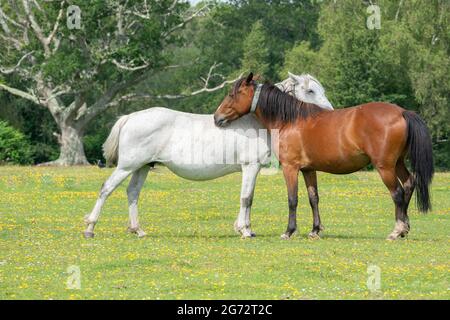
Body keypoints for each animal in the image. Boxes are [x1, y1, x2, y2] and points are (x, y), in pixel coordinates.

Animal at [82, 72, 332, 238]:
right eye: (311, 90)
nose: (329, 111)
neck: (256, 120)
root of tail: (131, 117)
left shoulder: (252, 169)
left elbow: (248, 198)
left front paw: (244, 228)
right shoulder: (250, 166)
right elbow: (246, 198)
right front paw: (245, 230)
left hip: (142, 167)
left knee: (132, 192)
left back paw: (138, 230)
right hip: (127, 166)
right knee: (106, 189)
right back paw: (90, 227)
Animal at [214, 74, 432, 240]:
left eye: (232, 94)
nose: (217, 118)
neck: (290, 120)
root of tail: (402, 112)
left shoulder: (290, 168)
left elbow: (292, 199)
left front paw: (289, 231)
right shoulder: (308, 169)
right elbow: (314, 198)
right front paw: (315, 230)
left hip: (385, 166)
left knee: (397, 193)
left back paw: (396, 230)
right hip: (397, 163)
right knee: (409, 184)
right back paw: (404, 228)